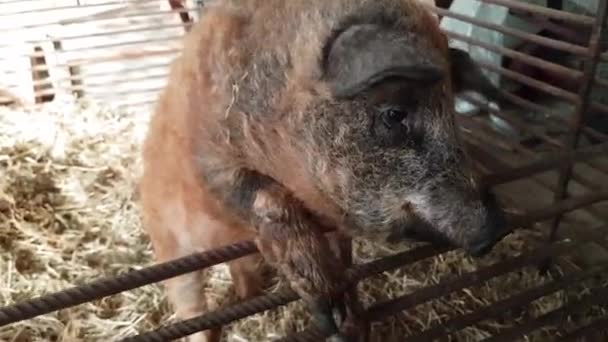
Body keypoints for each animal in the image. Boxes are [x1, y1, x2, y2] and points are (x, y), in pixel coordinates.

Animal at [139, 0, 512, 342]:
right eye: (394, 114)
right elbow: (267, 200)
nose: (498, 227)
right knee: (191, 304)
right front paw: (328, 315)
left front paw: (351, 324)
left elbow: (345, 261)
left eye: (452, 112)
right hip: (169, 245)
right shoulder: (212, 163)